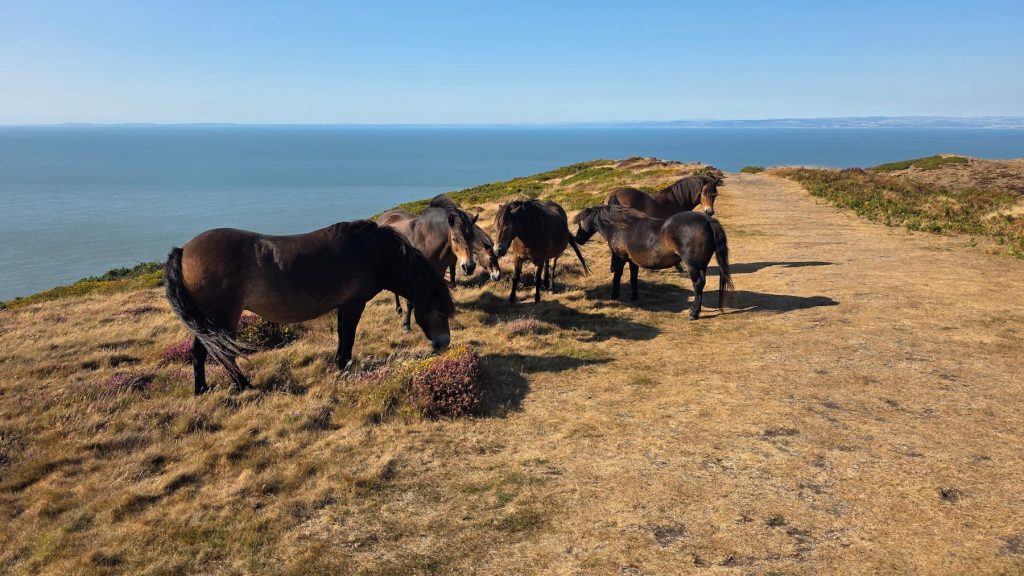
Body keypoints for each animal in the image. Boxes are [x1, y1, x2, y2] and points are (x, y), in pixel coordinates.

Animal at [164, 220, 454, 395]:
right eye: (440, 313)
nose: (444, 344)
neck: (376, 253)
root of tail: (184, 250)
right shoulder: (353, 304)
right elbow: (347, 337)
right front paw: (344, 366)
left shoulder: (343, 305)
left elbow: (342, 335)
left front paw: (340, 364)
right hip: (222, 316)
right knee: (223, 353)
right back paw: (244, 385)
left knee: (200, 351)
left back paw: (202, 389)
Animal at [379, 195, 479, 330]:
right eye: (454, 238)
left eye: (472, 237)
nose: (469, 267)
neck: (428, 240)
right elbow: (411, 302)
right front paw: (406, 324)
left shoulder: (439, 272)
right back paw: (399, 309)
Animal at [572, 205, 733, 320]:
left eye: (580, 222)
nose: (577, 239)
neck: (620, 226)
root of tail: (708, 221)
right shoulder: (632, 261)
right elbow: (633, 279)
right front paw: (634, 297)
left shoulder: (620, 259)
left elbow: (616, 278)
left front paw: (614, 297)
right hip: (702, 265)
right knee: (702, 284)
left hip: (692, 266)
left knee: (698, 284)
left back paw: (694, 313)